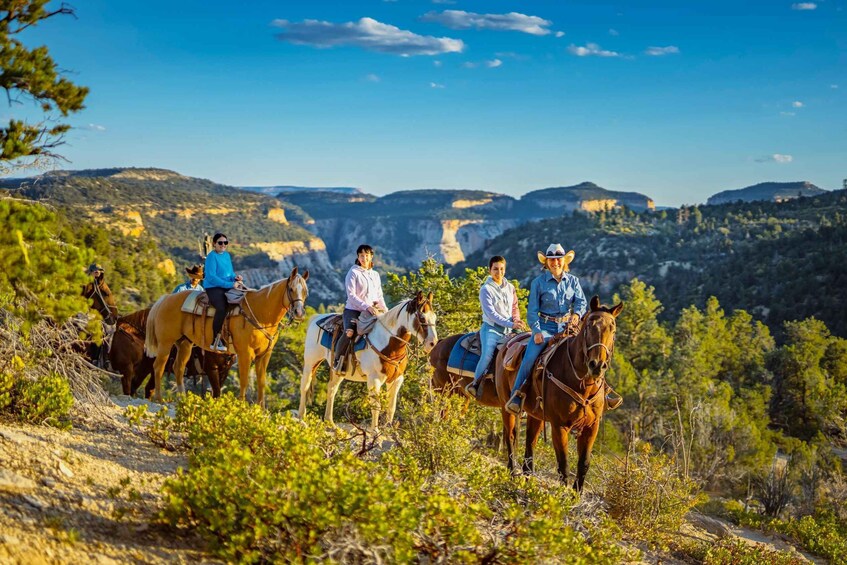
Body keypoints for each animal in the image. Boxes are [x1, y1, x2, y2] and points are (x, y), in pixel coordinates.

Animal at [144, 268, 310, 406]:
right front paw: (242, 407)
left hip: (184, 343)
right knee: (158, 367)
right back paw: (159, 399)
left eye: (305, 292)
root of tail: (166, 299)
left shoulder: (264, 355)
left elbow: (261, 382)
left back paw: (182, 399)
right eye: (291, 289)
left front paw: (261, 409)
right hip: (165, 343)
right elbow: (244, 381)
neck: (260, 312)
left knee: (178, 368)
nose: (299, 313)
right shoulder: (245, 353)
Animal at [298, 290, 440, 432]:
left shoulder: (396, 379)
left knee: (332, 389)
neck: (388, 344)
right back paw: (301, 420)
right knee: (305, 386)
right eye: (422, 318)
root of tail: (317, 318)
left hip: (337, 370)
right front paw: (375, 431)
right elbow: (376, 406)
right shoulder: (374, 379)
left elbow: (391, 406)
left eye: (434, 317)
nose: (433, 343)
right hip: (311, 362)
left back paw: (330, 423)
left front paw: (388, 429)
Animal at [496, 296, 624, 490]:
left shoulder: (591, 427)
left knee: (530, 443)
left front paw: (576, 494)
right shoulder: (559, 426)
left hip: (536, 415)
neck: (582, 385)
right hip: (506, 406)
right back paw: (513, 475)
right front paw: (563, 495)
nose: (597, 365)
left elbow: (583, 463)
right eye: (589, 327)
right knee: (511, 437)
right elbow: (563, 464)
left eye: (613, 329)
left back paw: (528, 479)